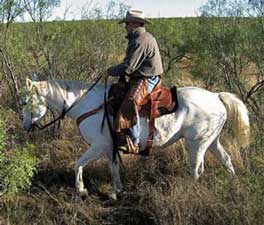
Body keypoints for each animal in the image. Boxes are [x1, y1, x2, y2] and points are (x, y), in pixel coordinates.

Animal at [22, 78, 250, 200]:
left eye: (25, 102)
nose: (25, 126)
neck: (85, 104)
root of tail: (215, 96)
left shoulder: (98, 146)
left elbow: (78, 164)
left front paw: (81, 189)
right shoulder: (110, 147)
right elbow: (113, 167)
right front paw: (116, 191)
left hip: (197, 143)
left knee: (196, 169)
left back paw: (188, 192)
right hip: (212, 141)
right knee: (226, 159)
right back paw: (234, 184)